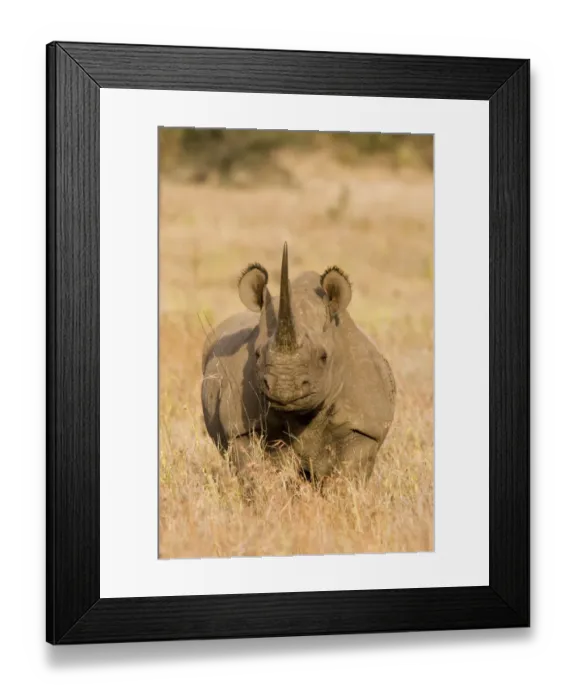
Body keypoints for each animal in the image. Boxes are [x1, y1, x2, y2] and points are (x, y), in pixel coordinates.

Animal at [201, 243, 396, 485]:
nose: (284, 387)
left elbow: (346, 476)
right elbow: (256, 473)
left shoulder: (364, 427)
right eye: (256, 354)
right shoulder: (239, 428)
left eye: (324, 357)